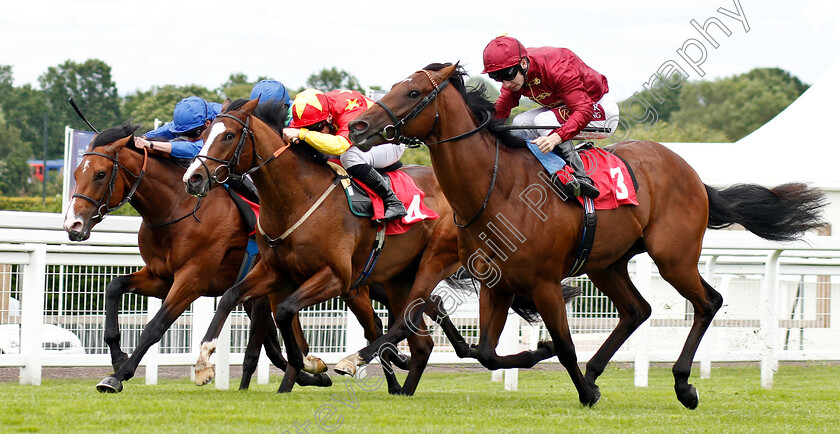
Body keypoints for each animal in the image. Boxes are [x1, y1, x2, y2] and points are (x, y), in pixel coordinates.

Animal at [61, 123, 352, 394]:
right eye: (75, 174)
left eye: (100, 174)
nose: (73, 224)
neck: (177, 209)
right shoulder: (161, 277)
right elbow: (114, 286)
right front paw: (118, 357)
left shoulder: (193, 279)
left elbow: (155, 326)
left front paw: (119, 376)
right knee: (285, 340)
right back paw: (311, 373)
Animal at [184, 98, 520, 396]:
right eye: (204, 134)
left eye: (228, 135)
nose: (193, 178)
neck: (298, 198)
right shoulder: (275, 270)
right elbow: (231, 297)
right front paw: (202, 363)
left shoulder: (336, 277)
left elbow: (286, 309)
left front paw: (310, 363)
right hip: (398, 278)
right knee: (419, 341)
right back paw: (403, 388)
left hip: (431, 261)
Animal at [348, 62, 828, 408]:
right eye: (395, 86)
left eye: (412, 93)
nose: (357, 127)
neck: (497, 189)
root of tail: (690, 172)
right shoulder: (494, 283)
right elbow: (485, 351)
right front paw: (547, 360)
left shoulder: (544, 282)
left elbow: (563, 343)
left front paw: (579, 386)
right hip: (607, 263)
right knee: (637, 310)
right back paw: (598, 371)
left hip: (673, 257)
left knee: (708, 301)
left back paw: (682, 385)